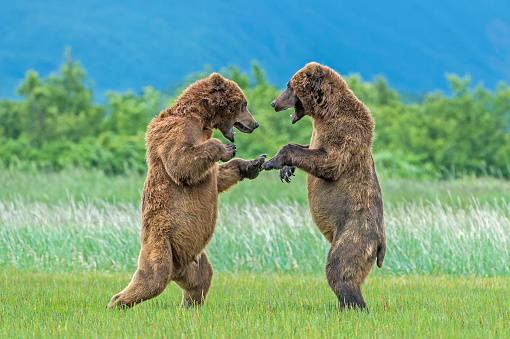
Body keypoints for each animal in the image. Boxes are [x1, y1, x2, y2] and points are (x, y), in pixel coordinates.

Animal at [108, 73, 266, 310]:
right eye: (244, 104)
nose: (254, 123)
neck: (202, 119)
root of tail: (177, 270)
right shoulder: (180, 129)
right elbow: (180, 162)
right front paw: (226, 148)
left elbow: (216, 179)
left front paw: (252, 164)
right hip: (160, 245)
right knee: (152, 278)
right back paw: (115, 304)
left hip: (193, 260)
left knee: (201, 280)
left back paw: (190, 307)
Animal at [262, 61, 386, 310]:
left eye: (288, 86)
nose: (273, 103)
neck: (323, 113)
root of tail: (381, 243)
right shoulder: (318, 132)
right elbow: (306, 149)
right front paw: (286, 170)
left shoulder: (344, 132)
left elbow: (329, 162)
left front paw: (273, 161)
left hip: (355, 231)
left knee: (340, 266)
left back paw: (354, 305)